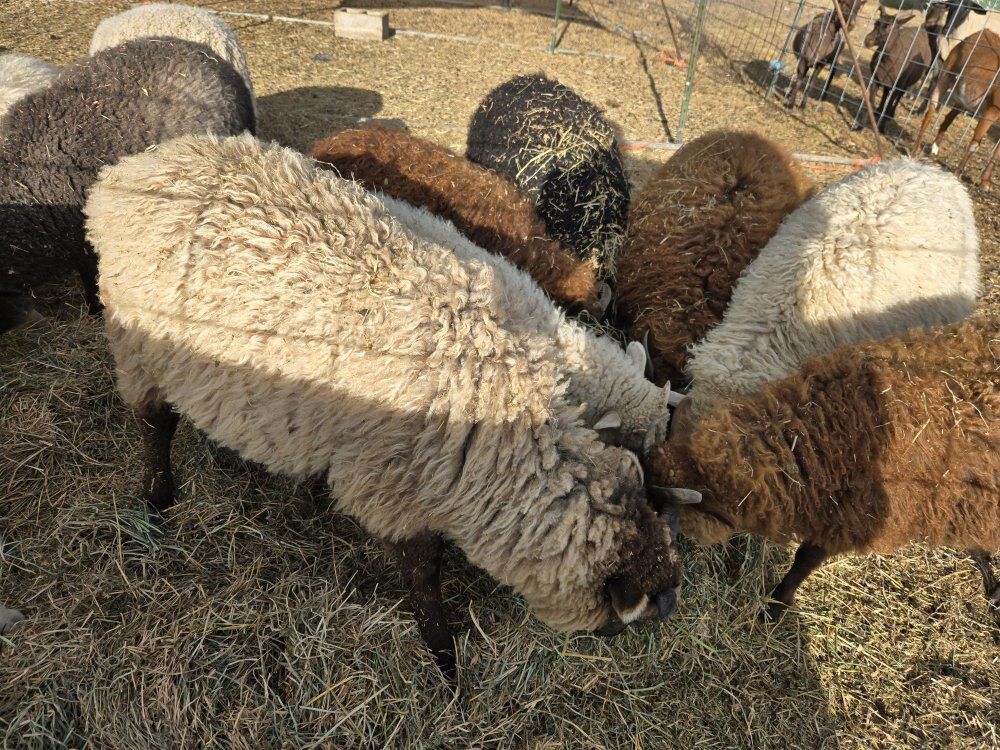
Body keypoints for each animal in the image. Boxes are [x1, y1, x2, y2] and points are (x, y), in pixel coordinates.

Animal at [912, 28, 1000, 191]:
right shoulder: (991, 112)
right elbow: (974, 145)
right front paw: (958, 175)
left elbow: (997, 154)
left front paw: (986, 183)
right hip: (946, 76)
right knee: (931, 112)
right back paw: (915, 152)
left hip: (962, 100)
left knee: (948, 118)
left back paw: (934, 148)